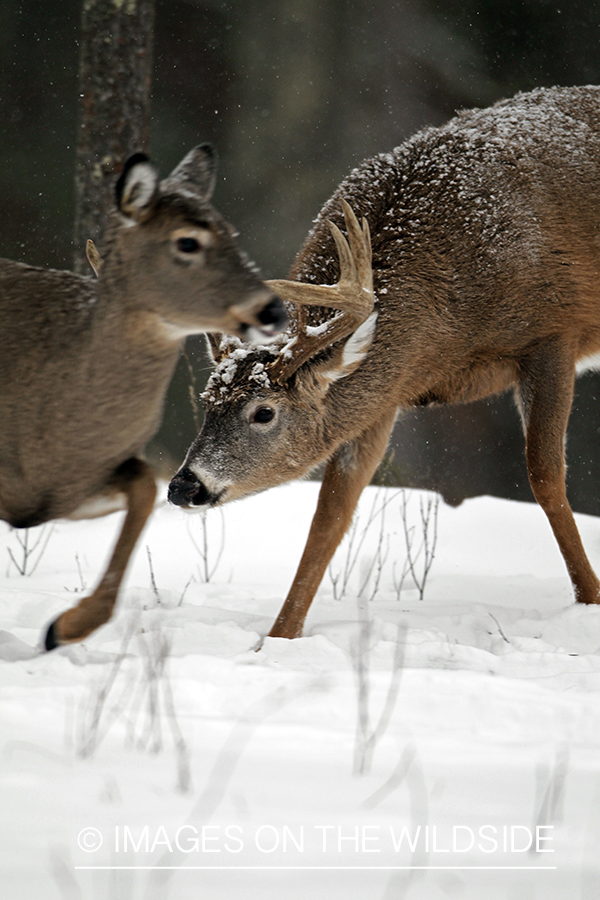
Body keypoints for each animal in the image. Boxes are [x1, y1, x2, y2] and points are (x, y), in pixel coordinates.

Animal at [0, 146, 290, 648]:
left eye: (231, 232)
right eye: (187, 242)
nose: (272, 309)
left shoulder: (80, 484)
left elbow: (145, 488)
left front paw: (67, 626)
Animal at [165, 88, 600, 640]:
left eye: (263, 412)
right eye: (207, 401)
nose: (184, 485)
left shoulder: (553, 334)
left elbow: (546, 475)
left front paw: (590, 600)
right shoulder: (388, 391)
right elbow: (332, 511)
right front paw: (279, 637)